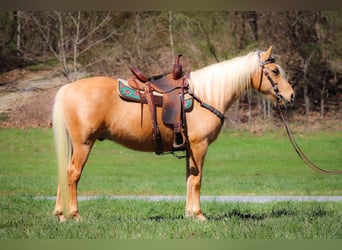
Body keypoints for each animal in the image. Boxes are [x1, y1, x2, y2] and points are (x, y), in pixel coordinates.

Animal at [52, 46, 294, 222]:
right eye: (275, 71)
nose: (291, 95)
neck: (206, 94)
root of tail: (67, 88)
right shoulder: (199, 146)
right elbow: (197, 181)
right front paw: (199, 215)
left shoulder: (189, 149)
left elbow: (189, 179)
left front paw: (189, 214)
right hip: (84, 144)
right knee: (73, 174)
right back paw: (75, 215)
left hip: (74, 145)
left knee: (64, 173)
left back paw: (61, 215)